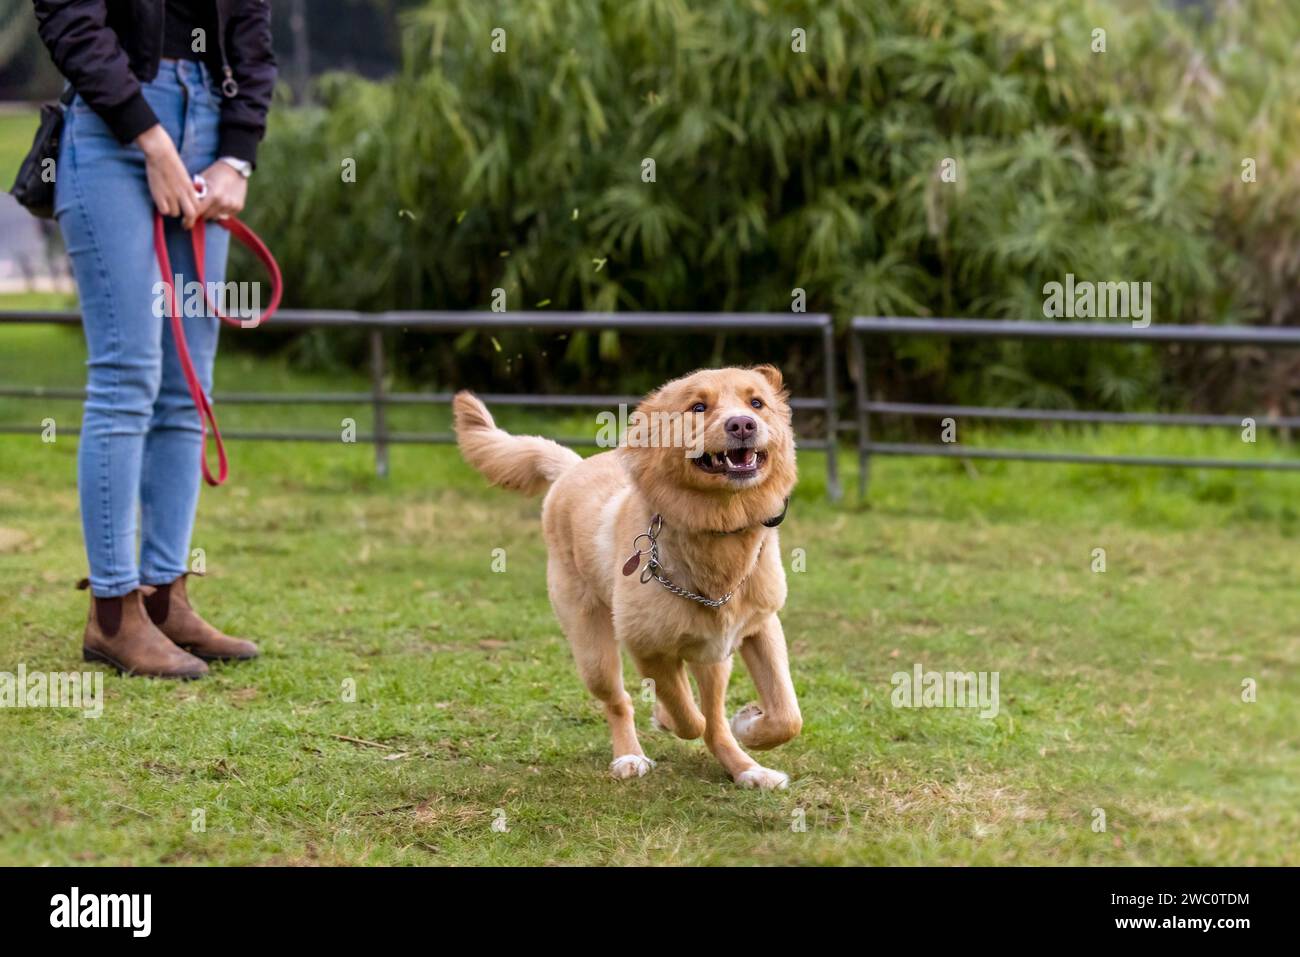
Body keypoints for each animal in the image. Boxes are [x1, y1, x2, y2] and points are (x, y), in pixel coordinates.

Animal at [454, 364, 800, 785]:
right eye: (698, 407)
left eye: (757, 403)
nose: (743, 424)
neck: (717, 534)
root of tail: (573, 466)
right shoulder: (646, 648)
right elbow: (687, 716)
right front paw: (670, 719)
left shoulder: (759, 627)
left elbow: (785, 716)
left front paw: (750, 724)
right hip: (593, 650)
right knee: (622, 702)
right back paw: (630, 756)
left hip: (715, 657)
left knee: (715, 719)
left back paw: (748, 770)